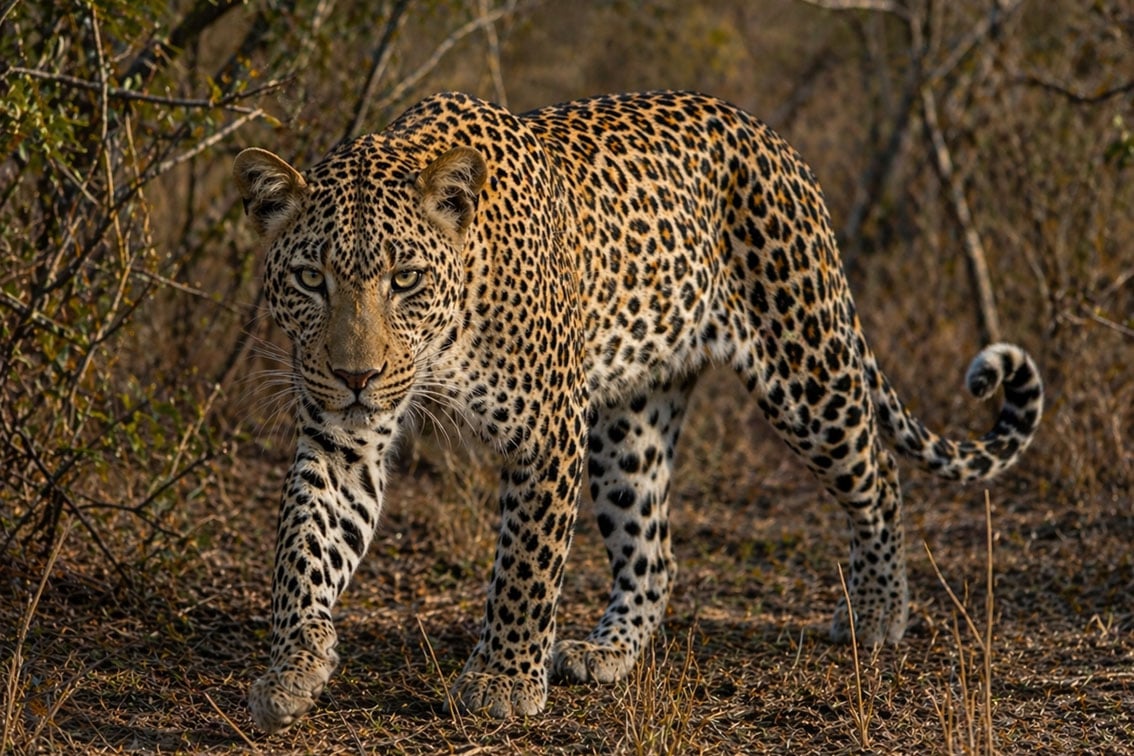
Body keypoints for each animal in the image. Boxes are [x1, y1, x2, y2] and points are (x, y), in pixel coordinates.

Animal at [232, 90, 1043, 734]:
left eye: (405, 279)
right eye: (309, 279)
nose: (356, 374)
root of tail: (770, 137)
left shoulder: (546, 428)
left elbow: (526, 565)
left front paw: (503, 683)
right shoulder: (343, 437)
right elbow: (303, 546)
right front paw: (292, 670)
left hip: (807, 365)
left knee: (878, 475)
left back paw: (878, 613)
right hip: (631, 420)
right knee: (654, 551)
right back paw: (607, 650)